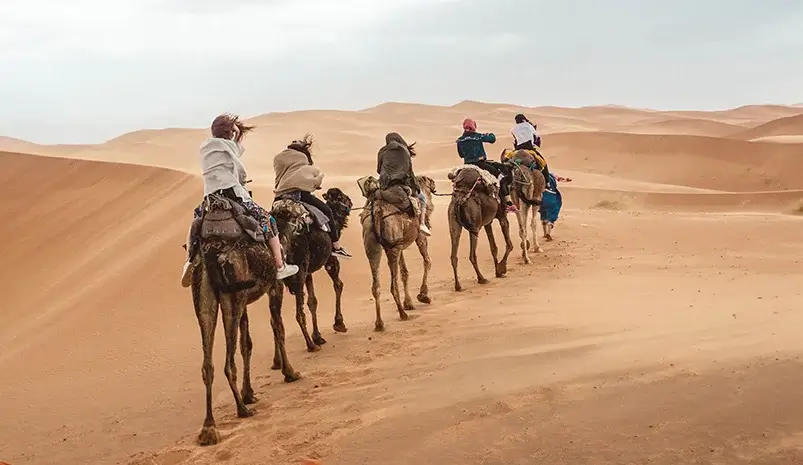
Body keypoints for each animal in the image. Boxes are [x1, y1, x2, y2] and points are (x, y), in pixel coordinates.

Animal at [188, 192, 302, 446]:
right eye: (295, 209)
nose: (306, 216)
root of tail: (211, 250)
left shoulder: (245, 302)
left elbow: (246, 344)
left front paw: (249, 393)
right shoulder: (274, 287)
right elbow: (278, 327)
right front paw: (290, 372)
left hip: (205, 295)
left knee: (207, 363)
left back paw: (209, 428)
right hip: (231, 298)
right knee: (227, 362)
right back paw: (241, 409)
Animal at [272, 187, 354, 350]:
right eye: (341, 197)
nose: (350, 202)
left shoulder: (308, 271)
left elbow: (312, 301)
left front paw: (318, 337)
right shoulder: (330, 259)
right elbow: (338, 284)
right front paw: (339, 323)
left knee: (275, 320)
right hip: (298, 272)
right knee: (298, 313)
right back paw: (310, 345)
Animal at [358, 174, 434, 330]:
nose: (434, 185)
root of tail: (378, 212)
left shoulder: (400, 245)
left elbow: (404, 272)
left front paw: (409, 303)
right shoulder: (419, 237)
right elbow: (427, 261)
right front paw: (423, 295)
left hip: (373, 246)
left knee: (376, 284)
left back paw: (379, 323)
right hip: (392, 248)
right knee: (393, 284)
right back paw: (402, 314)